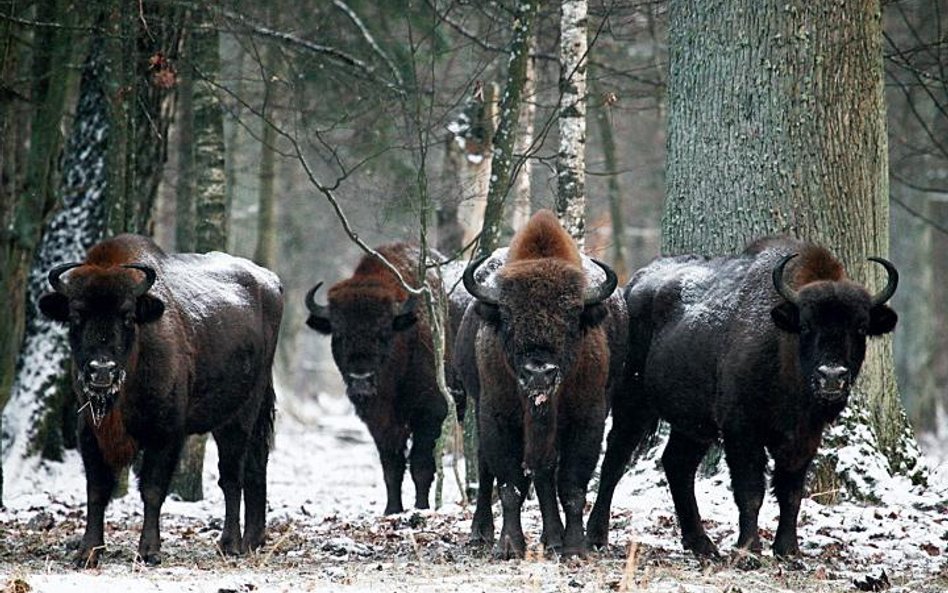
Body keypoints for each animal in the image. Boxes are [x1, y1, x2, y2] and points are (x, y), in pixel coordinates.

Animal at [39, 231, 284, 564]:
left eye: (128, 316)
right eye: (76, 315)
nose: (101, 370)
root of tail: (271, 283)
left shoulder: (166, 434)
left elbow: (153, 489)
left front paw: (149, 551)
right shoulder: (89, 431)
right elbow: (97, 490)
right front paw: (87, 552)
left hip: (242, 415)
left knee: (232, 475)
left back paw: (230, 544)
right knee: (253, 466)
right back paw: (251, 541)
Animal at [306, 240, 450, 512]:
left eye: (384, 332)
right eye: (338, 333)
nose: (361, 379)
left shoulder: (430, 413)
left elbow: (421, 465)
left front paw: (421, 507)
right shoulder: (379, 422)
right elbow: (391, 467)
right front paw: (392, 510)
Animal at [458, 210, 624, 556]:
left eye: (572, 316)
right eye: (508, 316)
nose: (538, 372)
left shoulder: (587, 419)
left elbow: (571, 487)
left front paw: (575, 547)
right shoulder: (498, 418)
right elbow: (509, 485)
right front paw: (509, 546)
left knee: (546, 473)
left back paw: (554, 539)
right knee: (486, 467)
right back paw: (482, 533)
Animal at [592, 235, 896, 556]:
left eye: (860, 327)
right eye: (805, 325)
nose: (832, 376)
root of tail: (633, 287)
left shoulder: (805, 437)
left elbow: (791, 493)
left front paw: (788, 548)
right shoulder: (741, 431)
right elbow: (751, 491)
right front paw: (749, 548)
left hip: (694, 425)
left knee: (677, 464)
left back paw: (701, 543)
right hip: (633, 404)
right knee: (615, 459)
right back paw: (597, 536)